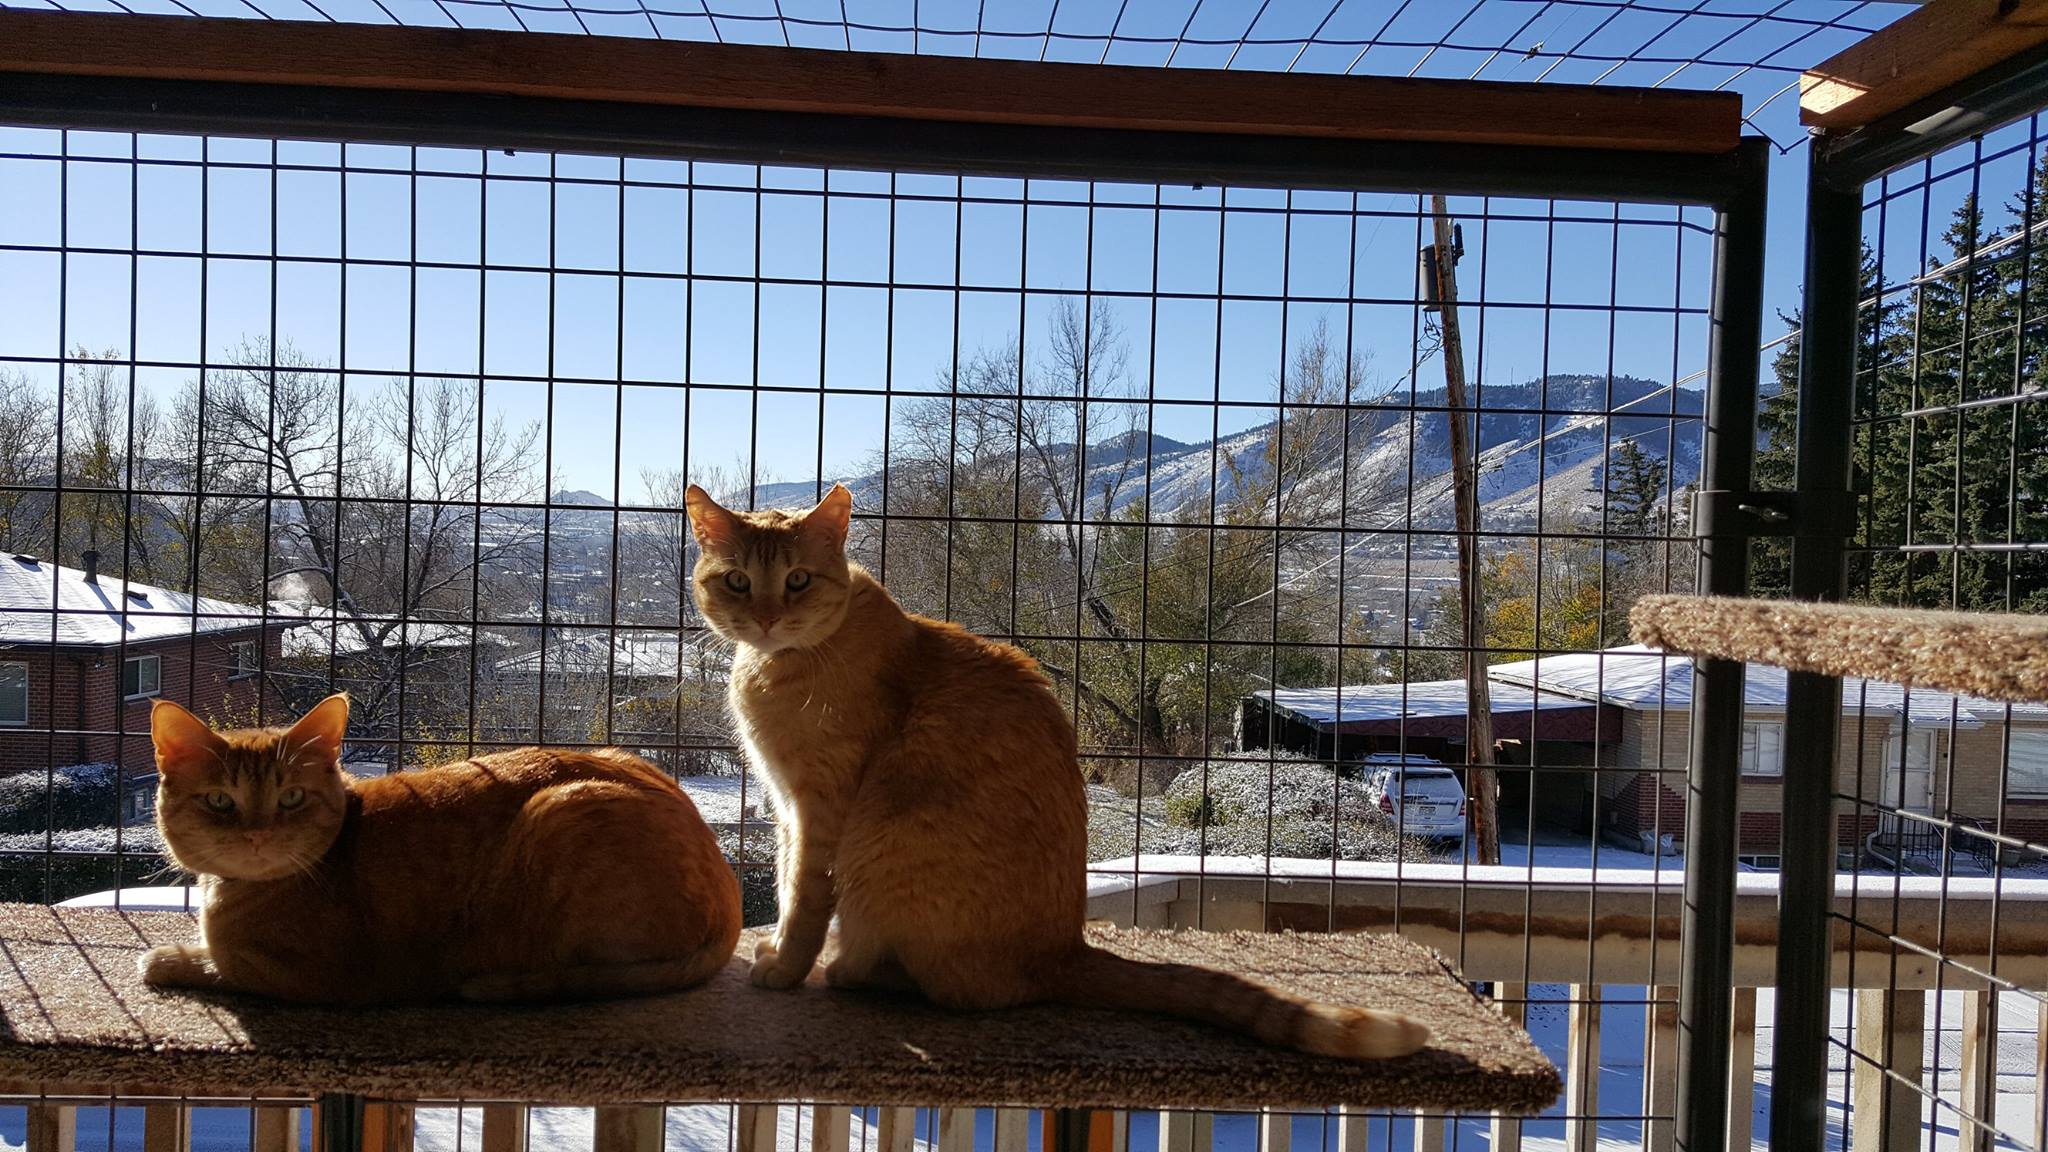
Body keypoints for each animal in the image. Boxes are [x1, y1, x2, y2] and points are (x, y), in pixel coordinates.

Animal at [140, 688, 745, 1004]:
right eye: (220, 801)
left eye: (290, 797)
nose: (258, 835)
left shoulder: (328, 977)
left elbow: (225, 963)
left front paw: (170, 959)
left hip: (560, 811)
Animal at [684, 479, 1425, 1057]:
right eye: (739, 581)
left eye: (798, 581)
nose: (766, 617)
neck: (785, 663)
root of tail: (1066, 948)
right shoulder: (785, 808)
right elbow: (785, 883)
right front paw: (777, 949)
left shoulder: (821, 807)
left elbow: (804, 896)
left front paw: (786, 966)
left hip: (884, 854)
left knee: (952, 990)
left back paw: (848, 970)